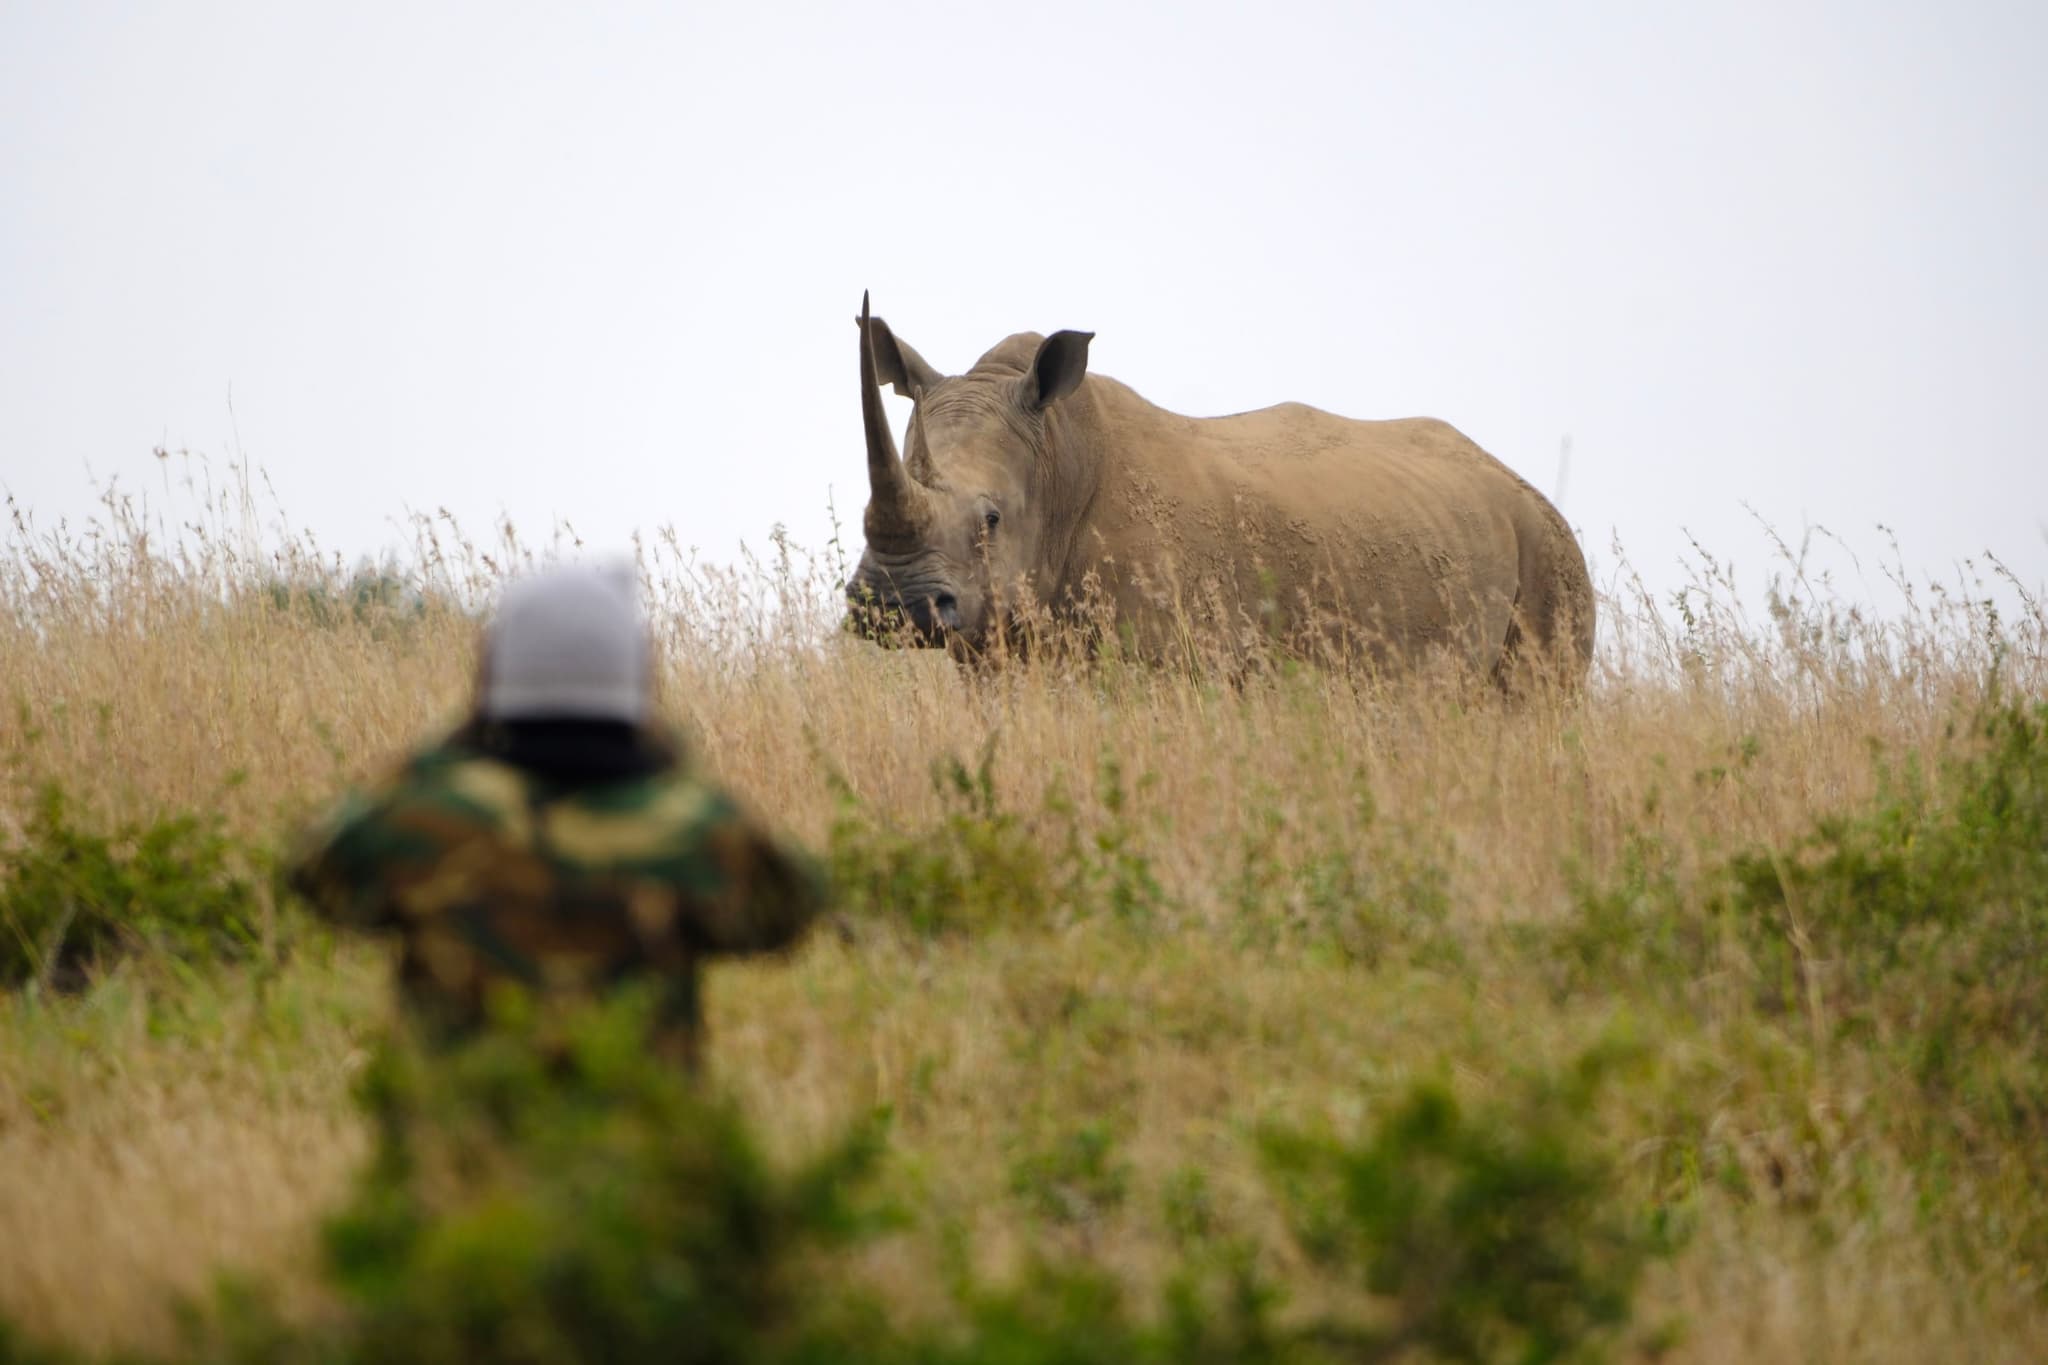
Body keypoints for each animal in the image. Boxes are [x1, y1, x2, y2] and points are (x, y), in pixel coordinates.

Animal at [846, 294, 1594, 686]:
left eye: (993, 518)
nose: (890, 605)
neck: (1056, 457)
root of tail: (1520, 484)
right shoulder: (995, 644)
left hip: (1551, 553)